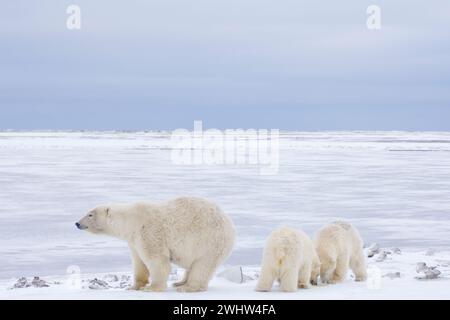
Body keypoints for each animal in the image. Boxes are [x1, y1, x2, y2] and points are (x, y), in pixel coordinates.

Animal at [76, 196, 236, 292]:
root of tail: (230, 225)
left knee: (202, 265)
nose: (77, 223)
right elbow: (139, 262)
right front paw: (134, 286)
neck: (131, 221)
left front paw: (152, 288)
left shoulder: (148, 232)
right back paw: (180, 282)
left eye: (90, 214)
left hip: (210, 242)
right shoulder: (134, 240)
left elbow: (157, 261)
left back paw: (188, 287)